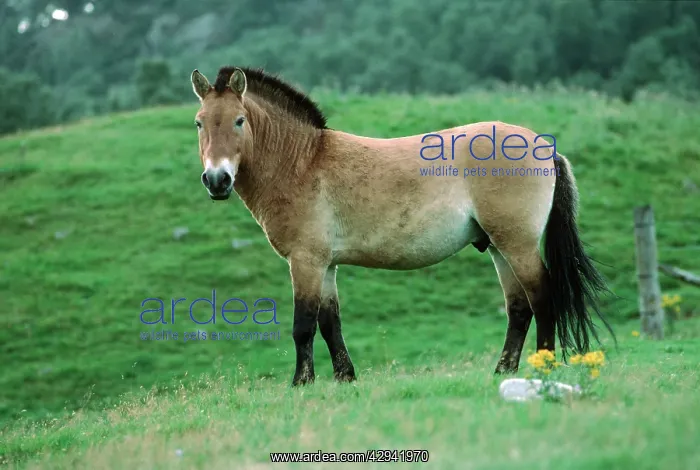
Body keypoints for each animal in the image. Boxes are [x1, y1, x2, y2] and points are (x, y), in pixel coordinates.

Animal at [188, 65, 615, 386]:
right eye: (199, 123)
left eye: (239, 120)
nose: (217, 181)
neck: (304, 162)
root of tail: (545, 147)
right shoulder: (327, 266)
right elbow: (329, 322)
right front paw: (345, 377)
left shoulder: (306, 261)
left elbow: (304, 325)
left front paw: (301, 382)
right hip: (498, 247)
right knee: (519, 308)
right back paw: (502, 370)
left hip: (518, 245)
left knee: (542, 299)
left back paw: (543, 366)